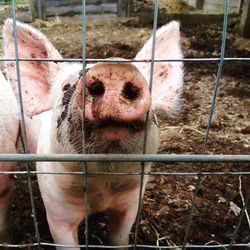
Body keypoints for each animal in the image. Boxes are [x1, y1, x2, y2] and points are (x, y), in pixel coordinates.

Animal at [2, 18, 184, 249]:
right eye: (66, 87)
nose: (114, 70)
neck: (102, 185)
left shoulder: (131, 202)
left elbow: (119, 238)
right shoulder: (57, 211)